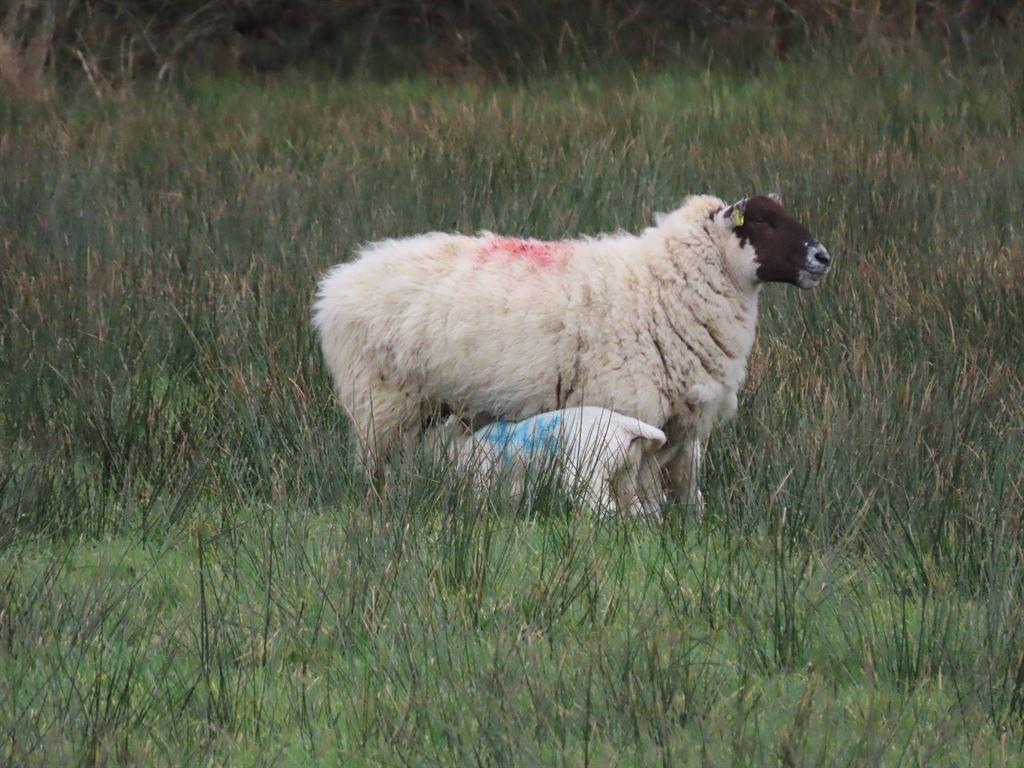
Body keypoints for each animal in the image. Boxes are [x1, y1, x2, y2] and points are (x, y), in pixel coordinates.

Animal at [426, 406, 668, 518]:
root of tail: (625, 425)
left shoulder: (483, 477)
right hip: (626, 475)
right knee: (634, 507)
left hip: (586, 473)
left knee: (605, 507)